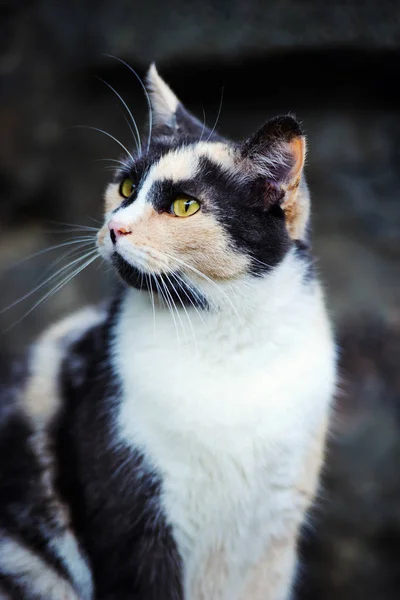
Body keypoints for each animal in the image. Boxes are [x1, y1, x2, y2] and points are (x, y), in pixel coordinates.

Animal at [0, 65, 336, 600]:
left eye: (184, 206)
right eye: (125, 188)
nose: (115, 227)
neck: (224, 336)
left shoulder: (276, 534)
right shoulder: (130, 510)